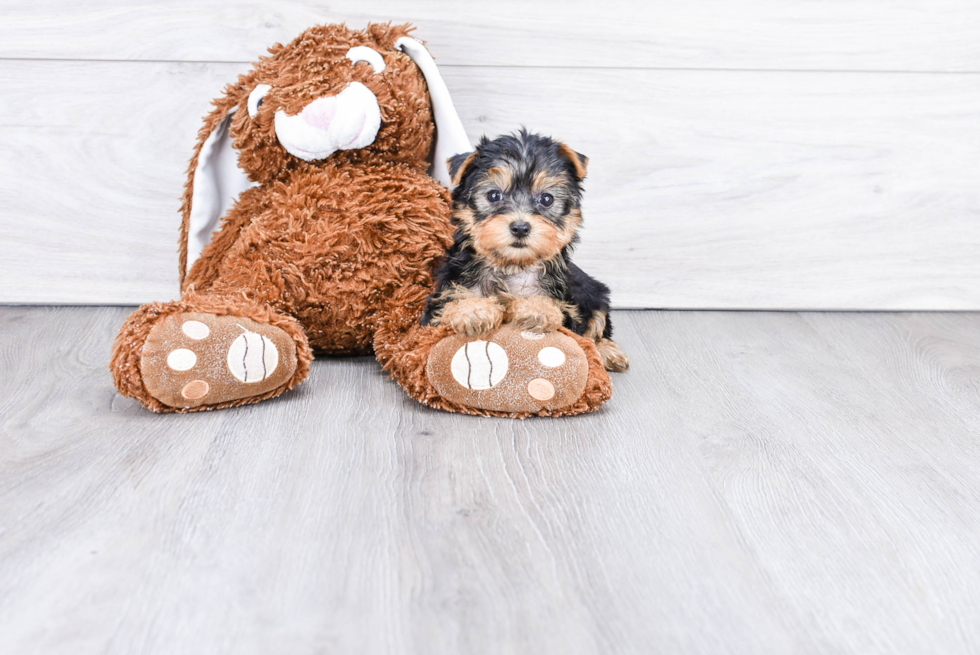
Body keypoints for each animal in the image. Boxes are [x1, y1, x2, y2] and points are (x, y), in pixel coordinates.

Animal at [424, 130, 632, 372]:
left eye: (546, 199)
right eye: (494, 195)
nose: (520, 227)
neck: (512, 266)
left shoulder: (567, 305)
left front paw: (536, 309)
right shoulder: (443, 295)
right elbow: (448, 308)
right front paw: (472, 310)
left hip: (594, 291)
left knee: (598, 321)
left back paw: (607, 350)